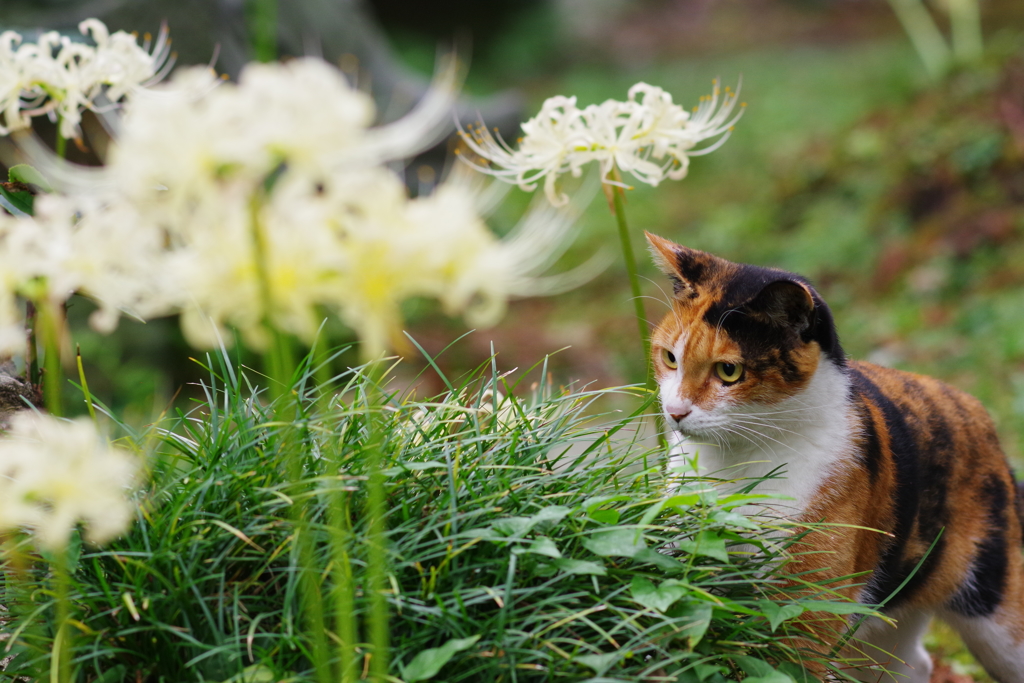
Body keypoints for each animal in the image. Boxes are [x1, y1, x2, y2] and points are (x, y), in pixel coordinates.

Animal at [647, 233, 1024, 683]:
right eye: (670, 358)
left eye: (729, 372)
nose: (675, 411)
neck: (738, 460)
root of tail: (979, 414)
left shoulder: (806, 603)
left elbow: (791, 664)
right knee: (912, 662)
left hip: (995, 609)